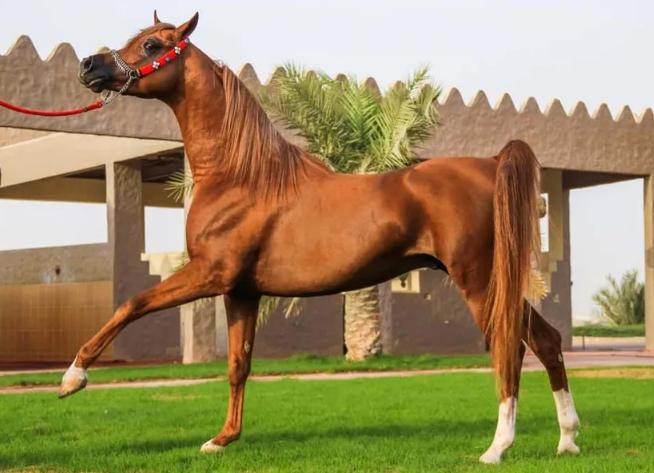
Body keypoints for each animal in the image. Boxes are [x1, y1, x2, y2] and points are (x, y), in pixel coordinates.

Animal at [61, 12, 580, 464]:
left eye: (152, 46)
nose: (89, 66)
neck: (243, 175)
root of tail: (491, 163)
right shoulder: (241, 291)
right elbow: (237, 364)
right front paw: (222, 439)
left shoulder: (210, 274)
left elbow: (131, 303)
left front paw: (73, 377)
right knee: (547, 340)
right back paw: (567, 441)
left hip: (479, 281)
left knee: (510, 347)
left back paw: (497, 448)